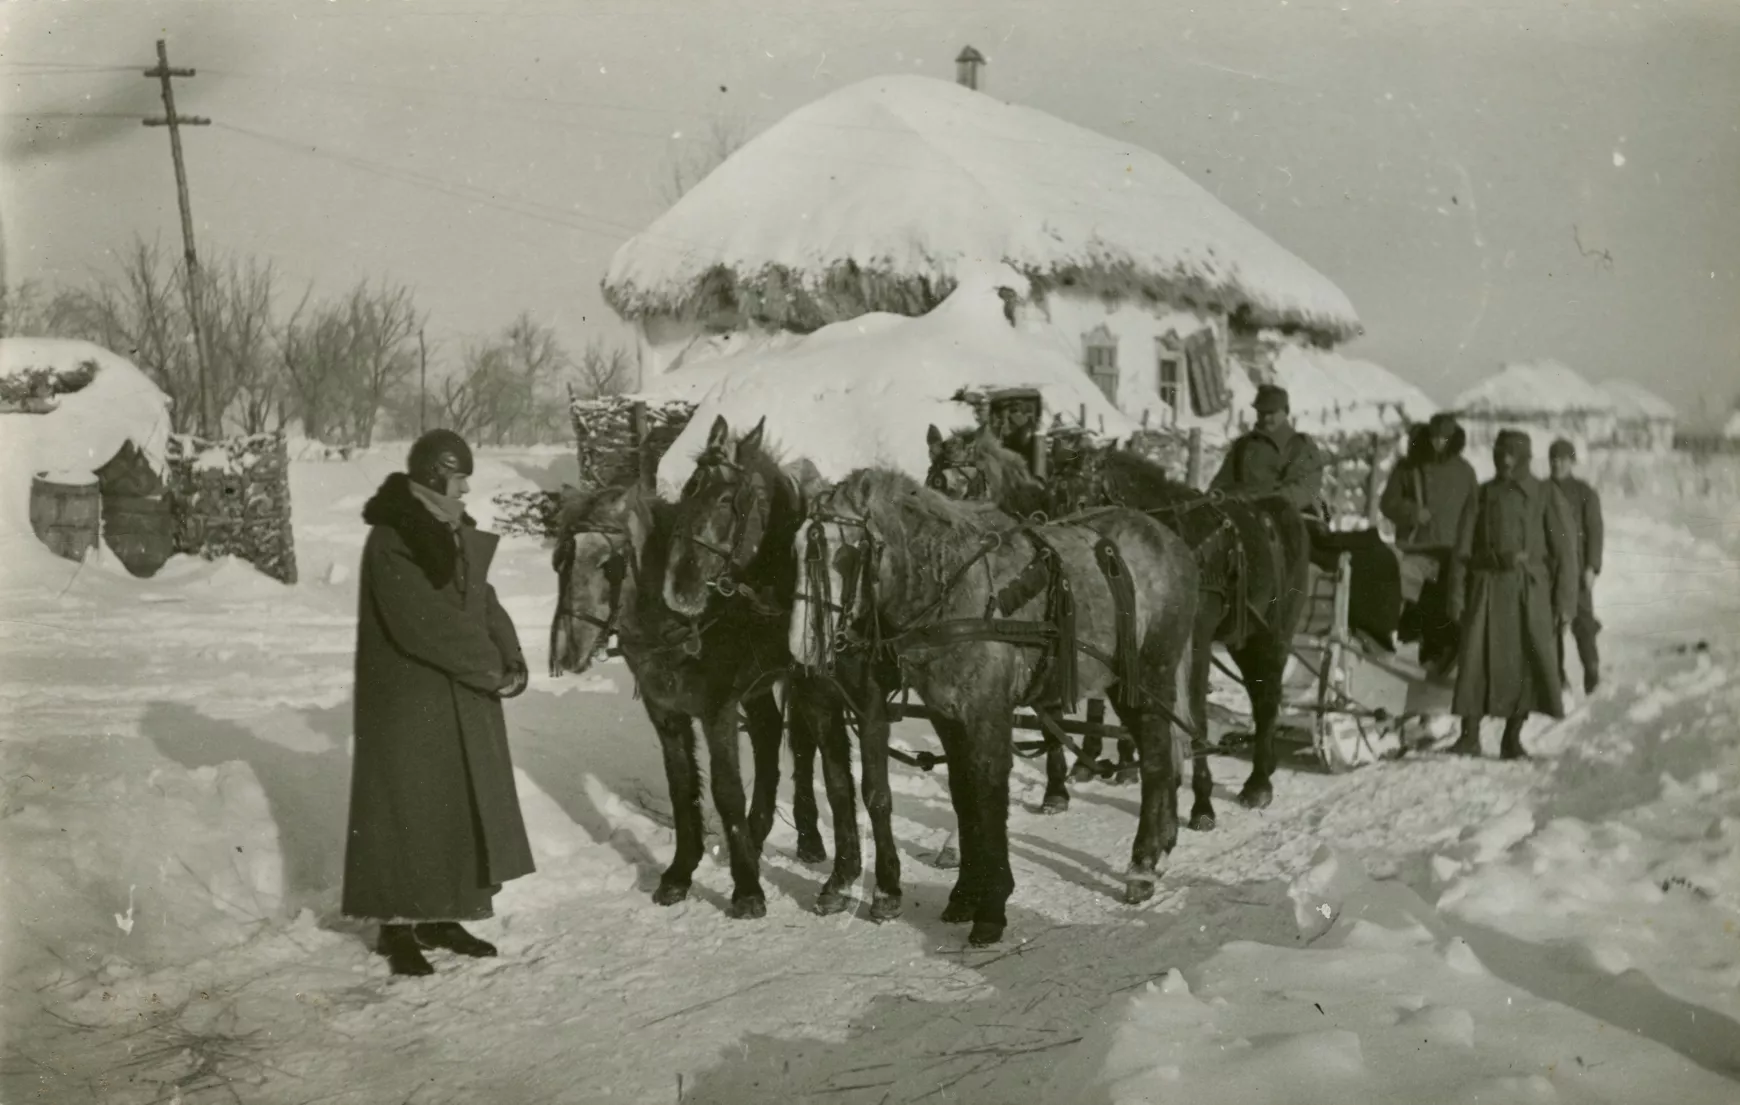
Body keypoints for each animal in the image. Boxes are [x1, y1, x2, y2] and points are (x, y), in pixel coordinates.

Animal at [553, 476, 824, 918]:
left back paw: (809, 839)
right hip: (758, 685)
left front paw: (747, 889)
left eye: (608, 564)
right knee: (767, 733)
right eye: (560, 560)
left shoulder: (718, 712)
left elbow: (726, 790)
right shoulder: (666, 715)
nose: (566, 650)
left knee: (802, 744)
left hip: (803, 676)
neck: (681, 625)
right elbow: (681, 788)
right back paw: (757, 831)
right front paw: (680, 873)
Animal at [793, 466, 1190, 939]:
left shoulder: (987, 713)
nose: (804, 650)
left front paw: (992, 905)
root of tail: (1168, 538)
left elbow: (989, 794)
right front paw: (965, 894)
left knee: (1157, 762)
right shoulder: (947, 714)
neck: (953, 588)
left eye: (844, 556)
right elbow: (964, 795)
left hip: (1150, 675)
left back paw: (1144, 864)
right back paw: (1161, 849)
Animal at [932, 422, 1308, 828]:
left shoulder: (1194, 643)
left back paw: (1258, 782)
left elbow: (1194, 717)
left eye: (1083, 500)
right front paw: (1058, 790)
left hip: (1269, 636)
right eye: (931, 480)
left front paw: (1201, 803)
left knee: (1266, 700)